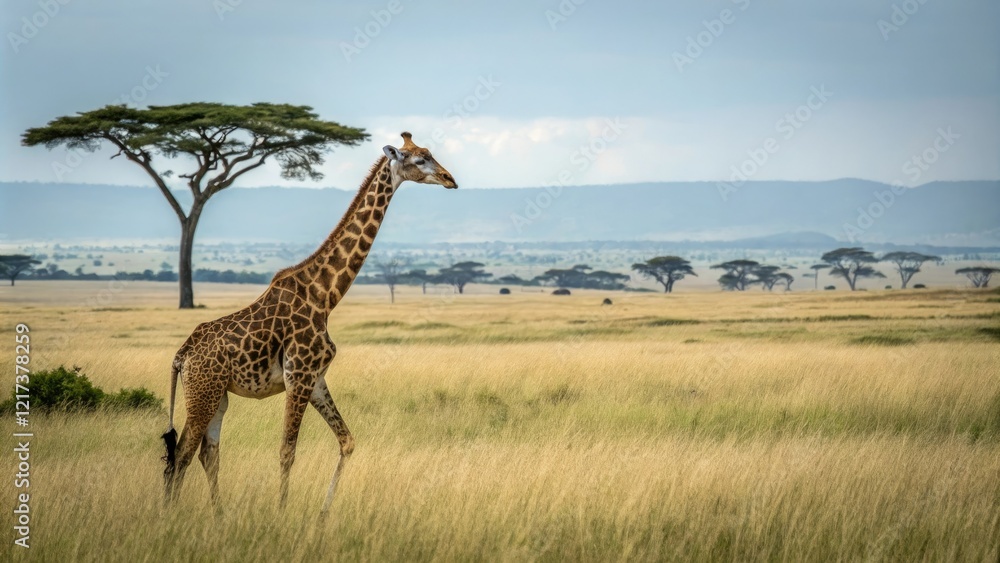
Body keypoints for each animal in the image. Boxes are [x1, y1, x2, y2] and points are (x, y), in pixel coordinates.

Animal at [161, 132, 457, 514]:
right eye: (419, 159)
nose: (450, 179)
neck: (325, 295)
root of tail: (181, 356)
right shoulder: (299, 376)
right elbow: (287, 451)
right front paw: (281, 512)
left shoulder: (315, 379)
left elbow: (347, 441)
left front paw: (323, 513)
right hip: (203, 392)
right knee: (181, 455)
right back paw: (171, 517)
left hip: (217, 396)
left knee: (206, 454)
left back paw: (220, 516)